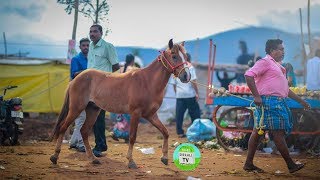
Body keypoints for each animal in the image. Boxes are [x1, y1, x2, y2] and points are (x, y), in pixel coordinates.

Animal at [50, 38, 190, 168]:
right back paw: (55, 156)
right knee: (63, 127)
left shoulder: (151, 115)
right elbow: (132, 137)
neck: (147, 81)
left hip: (93, 110)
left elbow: (165, 132)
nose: (186, 76)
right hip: (76, 108)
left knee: (84, 131)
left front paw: (164, 158)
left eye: (185, 56)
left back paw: (93, 158)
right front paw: (131, 161)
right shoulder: (136, 113)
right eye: (174, 55)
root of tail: (76, 78)